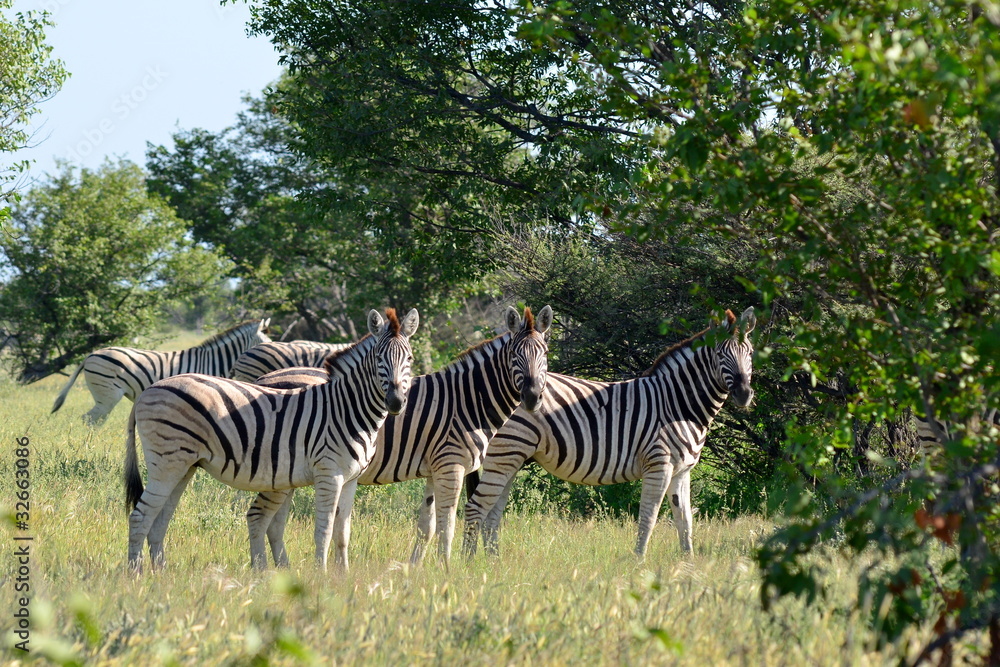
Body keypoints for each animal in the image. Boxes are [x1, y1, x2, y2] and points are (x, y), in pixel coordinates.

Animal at [123, 308, 419, 572]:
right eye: (379, 358)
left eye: (410, 358)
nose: (396, 402)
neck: (347, 408)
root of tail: (149, 390)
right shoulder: (329, 474)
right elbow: (323, 531)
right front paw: (321, 577)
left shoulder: (350, 479)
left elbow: (343, 533)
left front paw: (343, 577)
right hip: (167, 463)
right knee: (140, 516)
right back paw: (135, 574)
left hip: (184, 466)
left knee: (159, 519)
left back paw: (161, 573)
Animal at [251, 305, 553, 567]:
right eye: (515, 356)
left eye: (546, 354)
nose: (532, 397)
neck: (466, 401)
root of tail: (261, 379)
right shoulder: (450, 465)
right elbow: (446, 525)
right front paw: (448, 570)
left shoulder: (434, 469)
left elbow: (426, 527)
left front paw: (415, 570)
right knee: (263, 517)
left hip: (290, 474)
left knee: (274, 523)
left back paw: (283, 570)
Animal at [463, 306, 756, 559]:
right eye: (720, 354)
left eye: (751, 353)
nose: (744, 394)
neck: (678, 404)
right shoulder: (658, 464)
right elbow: (649, 517)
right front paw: (639, 562)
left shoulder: (682, 470)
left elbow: (685, 521)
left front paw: (688, 565)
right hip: (506, 454)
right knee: (477, 507)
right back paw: (470, 564)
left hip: (512, 457)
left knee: (492, 513)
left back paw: (494, 562)